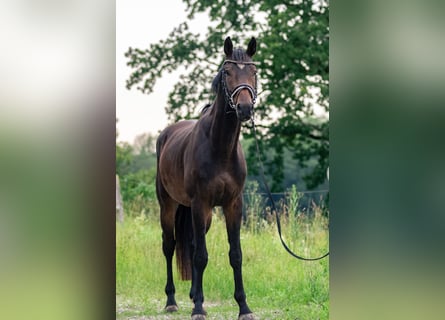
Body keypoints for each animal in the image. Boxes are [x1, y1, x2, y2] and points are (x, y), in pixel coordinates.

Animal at [157, 36, 256, 318]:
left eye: (254, 72)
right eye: (227, 72)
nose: (244, 108)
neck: (220, 147)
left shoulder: (232, 204)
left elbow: (235, 255)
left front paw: (243, 307)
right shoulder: (200, 203)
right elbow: (201, 256)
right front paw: (199, 308)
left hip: (204, 213)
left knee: (190, 245)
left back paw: (191, 295)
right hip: (169, 206)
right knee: (170, 246)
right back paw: (172, 300)